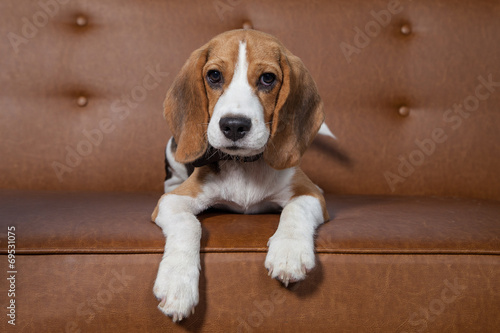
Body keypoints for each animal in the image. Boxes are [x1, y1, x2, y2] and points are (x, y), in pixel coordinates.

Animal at [150, 29, 334, 320]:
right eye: (214, 75)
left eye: (268, 78)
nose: (234, 125)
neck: (244, 165)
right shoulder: (173, 201)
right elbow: (189, 224)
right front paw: (177, 283)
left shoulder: (309, 193)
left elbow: (296, 210)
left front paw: (289, 252)